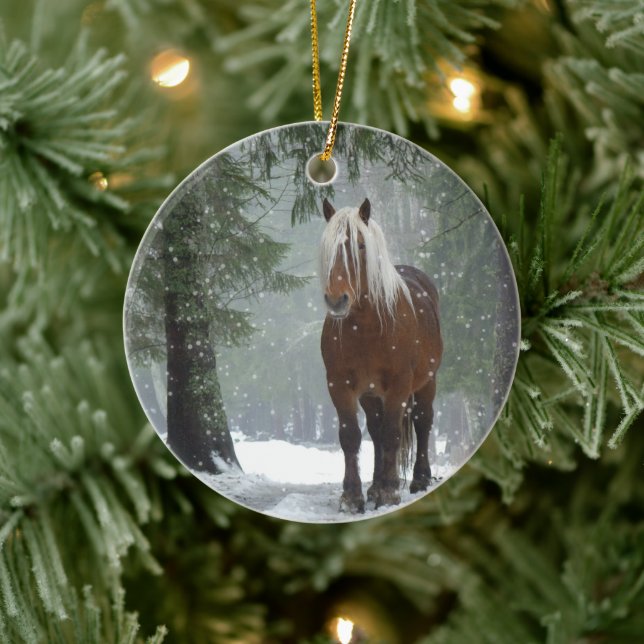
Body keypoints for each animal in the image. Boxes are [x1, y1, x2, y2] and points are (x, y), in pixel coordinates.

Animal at [319, 198, 443, 512]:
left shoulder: (399, 385)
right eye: (327, 248)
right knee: (375, 432)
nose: (337, 300)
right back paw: (374, 487)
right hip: (370, 394)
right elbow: (351, 436)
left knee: (422, 422)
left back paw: (418, 480)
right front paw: (352, 497)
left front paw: (389, 492)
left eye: (361, 246)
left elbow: (392, 434)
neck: (367, 328)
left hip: (427, 382)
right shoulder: (340, 385)